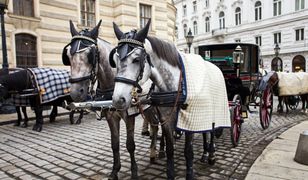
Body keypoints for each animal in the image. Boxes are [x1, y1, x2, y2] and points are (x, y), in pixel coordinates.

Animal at [62, 20, 168, 180]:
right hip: (148, 108)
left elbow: (130, 145)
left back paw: (161, 150)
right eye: (68, 55)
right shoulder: (110, 116)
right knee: (155, 126)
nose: (76, 92)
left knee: (162, 124)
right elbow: (115, 144)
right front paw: (114, 171)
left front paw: (134, 172)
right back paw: (153, 153)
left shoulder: (129, 116)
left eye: (90, 55)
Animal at [109, 19, 229, 179]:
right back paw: (205, 153)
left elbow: (188, 151)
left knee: (211, 129)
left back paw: (210, 154)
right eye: (114, 60)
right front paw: (170, 172)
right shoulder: (166, 118)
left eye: (136, 59)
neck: (174, 85)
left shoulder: (189, 118)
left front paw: (190, 174)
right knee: (205, 131)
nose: (117, 100)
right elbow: (170, 149)